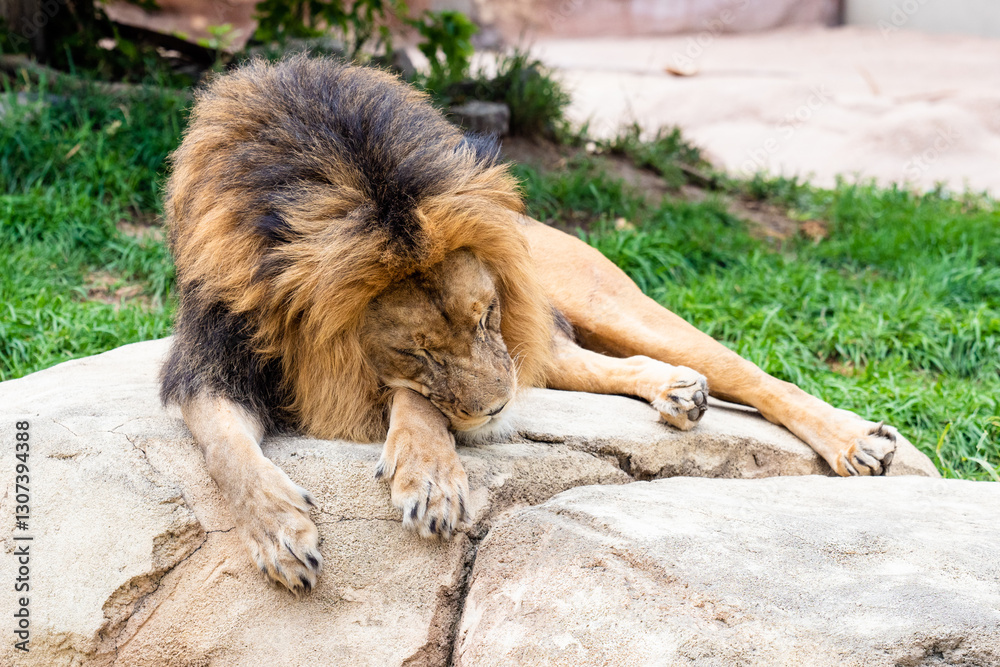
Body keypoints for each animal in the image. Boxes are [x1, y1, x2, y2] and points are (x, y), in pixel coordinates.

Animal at [161, 55, 900, 593]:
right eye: (419, 348)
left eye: (483, 314)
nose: (495, 410)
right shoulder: (208, 366)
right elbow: (229, 452)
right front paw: (281, 534)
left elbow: (412, 407)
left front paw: (430, 477)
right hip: (541, 350)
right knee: (605, 366)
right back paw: (677, 392)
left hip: (597, 310)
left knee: (749, 372)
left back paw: (855, 441)